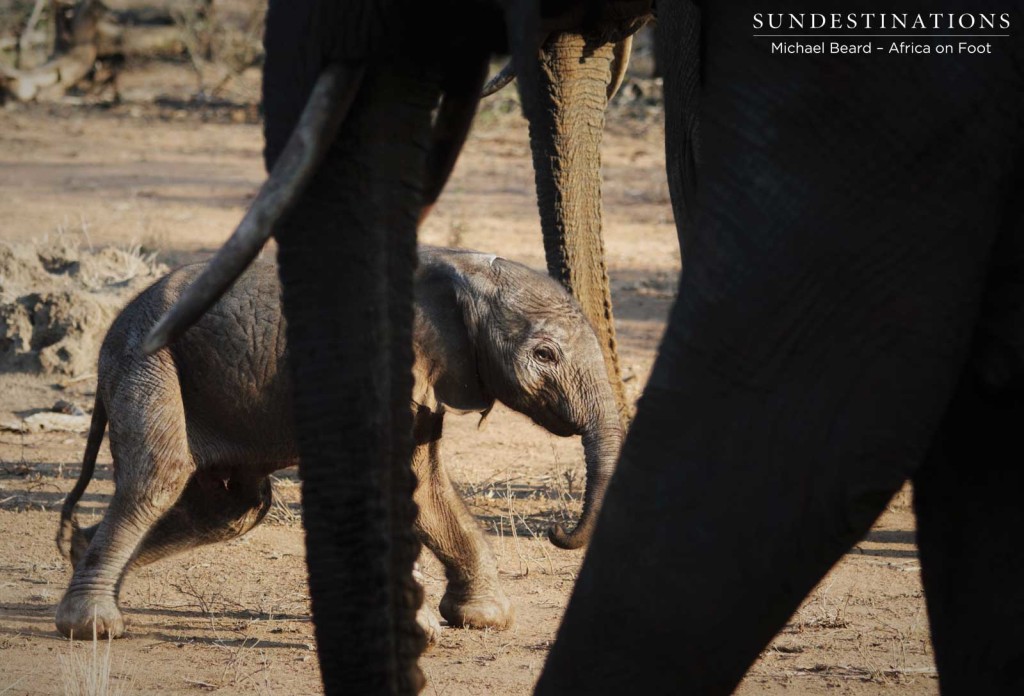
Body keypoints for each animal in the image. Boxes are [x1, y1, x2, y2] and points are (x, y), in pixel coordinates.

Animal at [58, 245, 622, 642]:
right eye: (545, 355)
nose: (555, 531)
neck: (461, 270)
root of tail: (116, 324)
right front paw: (423, 628)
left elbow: (428, 489)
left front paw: (483, 619)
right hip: (146, 361)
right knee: (160, 475)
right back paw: (91, 625)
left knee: (235, 508)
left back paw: (84, 555)